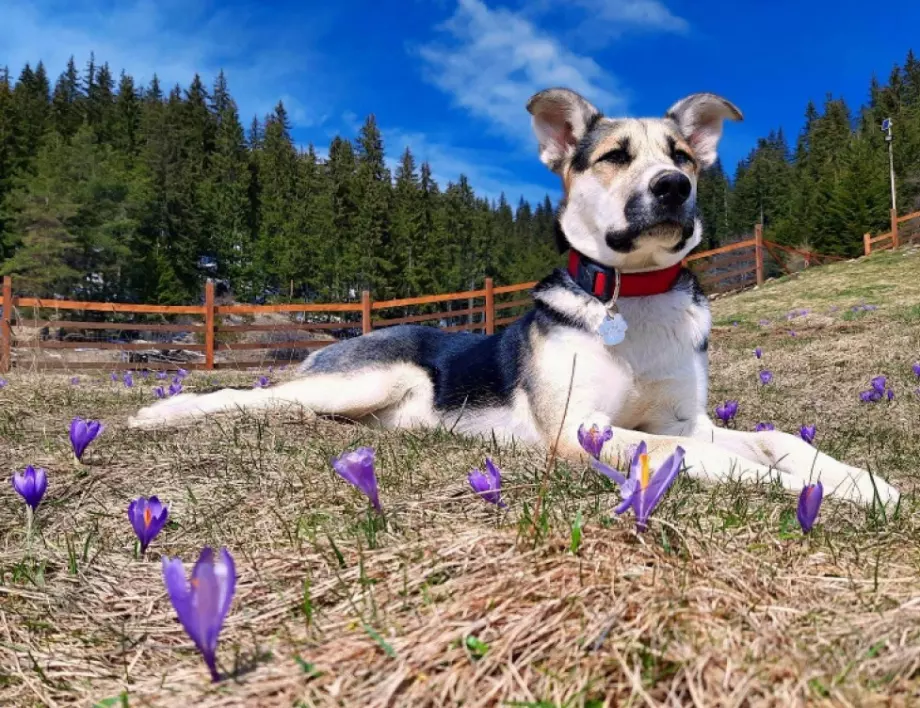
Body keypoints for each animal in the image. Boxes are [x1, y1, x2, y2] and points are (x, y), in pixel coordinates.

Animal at [129, 88, 900, 508]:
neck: (635, 296)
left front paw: (859, 482)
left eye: (682, 156)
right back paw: (163, 411)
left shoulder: (686, 419)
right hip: (359, 378)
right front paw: (794, 487)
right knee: (253, 396)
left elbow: (775, 438)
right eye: (615, 157)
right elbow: (703, 458)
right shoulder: (584, 429)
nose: (673, 188)